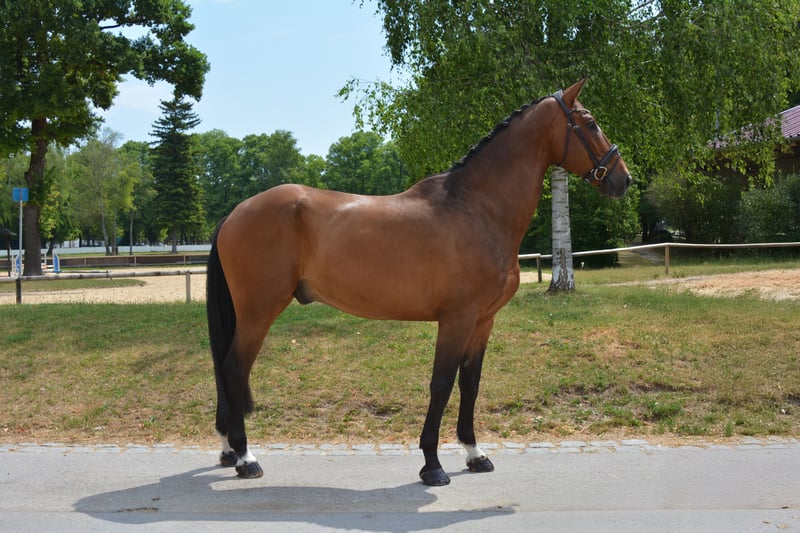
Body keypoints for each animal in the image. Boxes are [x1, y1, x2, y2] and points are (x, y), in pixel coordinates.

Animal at [206, 79, 632, 486]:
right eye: (591, 123)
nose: (623, 179)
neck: (476, 209)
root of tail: (235, 212)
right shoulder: (456, 319)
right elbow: (441, 384)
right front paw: (432, 464)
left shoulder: (482, 320)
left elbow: (470, 384)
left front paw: (475, 454)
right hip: (259, 312)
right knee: (234, 370)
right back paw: (246, 458)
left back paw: (229, 451)